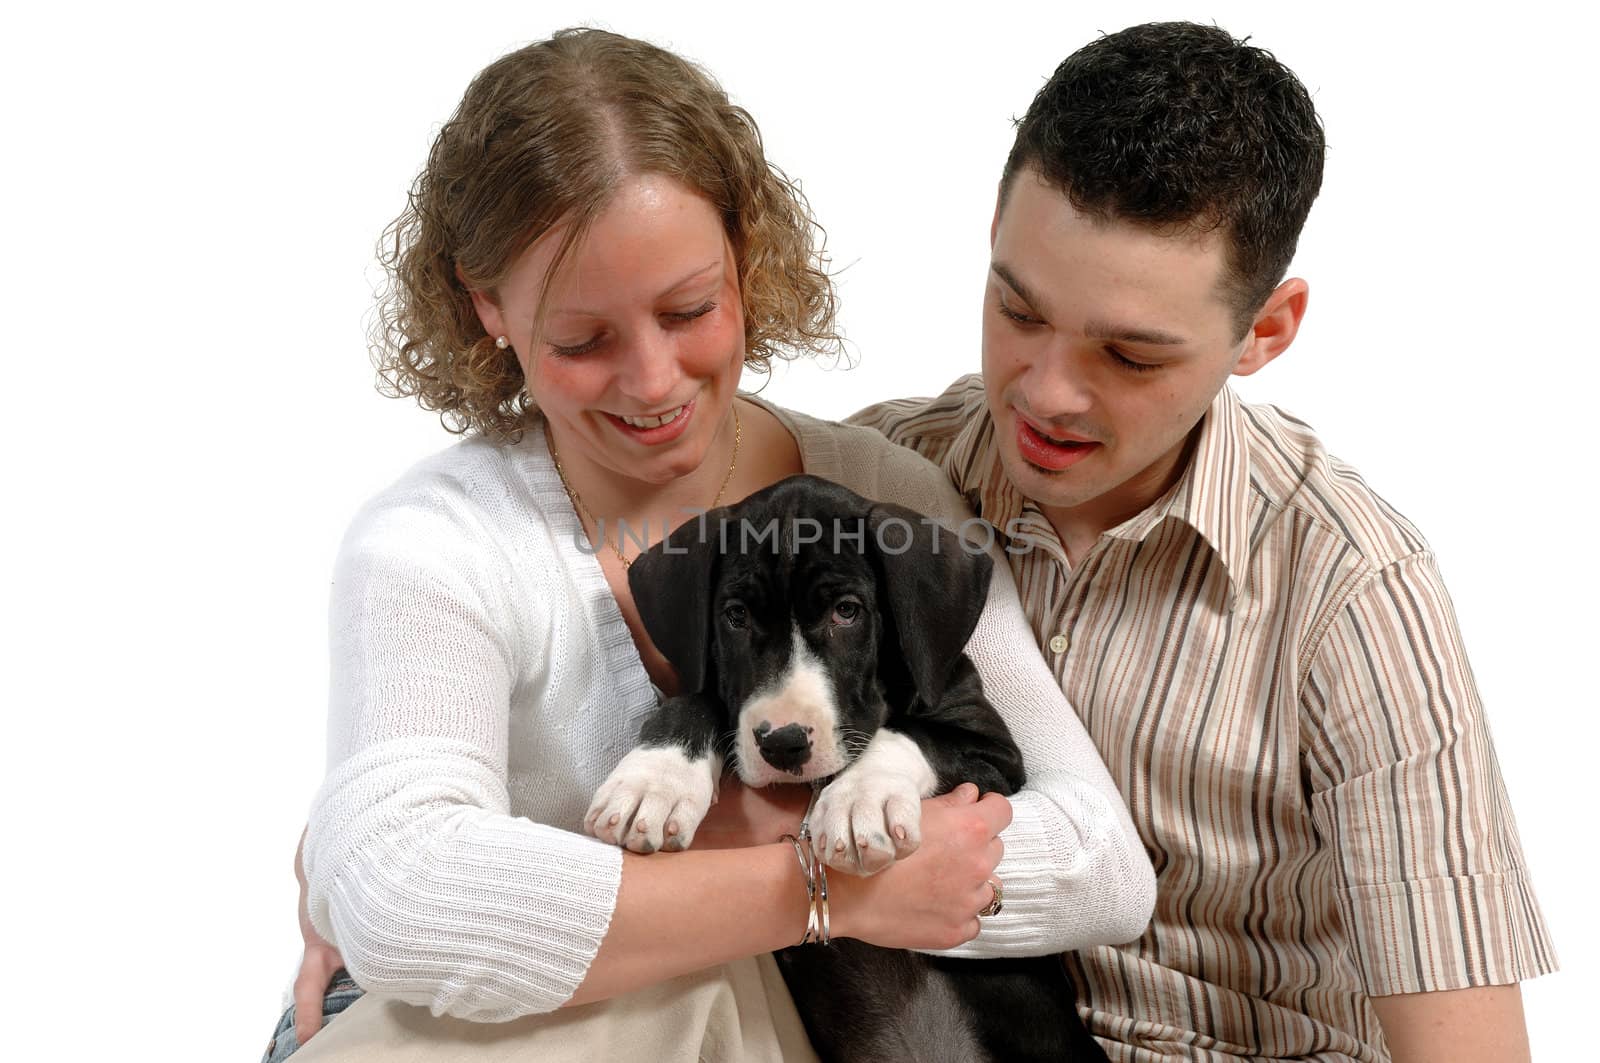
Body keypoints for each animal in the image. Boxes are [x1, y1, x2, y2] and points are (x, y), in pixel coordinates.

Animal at [582, 473, 1107, 1063]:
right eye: (735, 616)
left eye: (847, 611)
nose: (783, 744)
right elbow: (698, 697)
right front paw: (654, 780)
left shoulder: (994, 753)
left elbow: (910, 734)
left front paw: (861, 802)